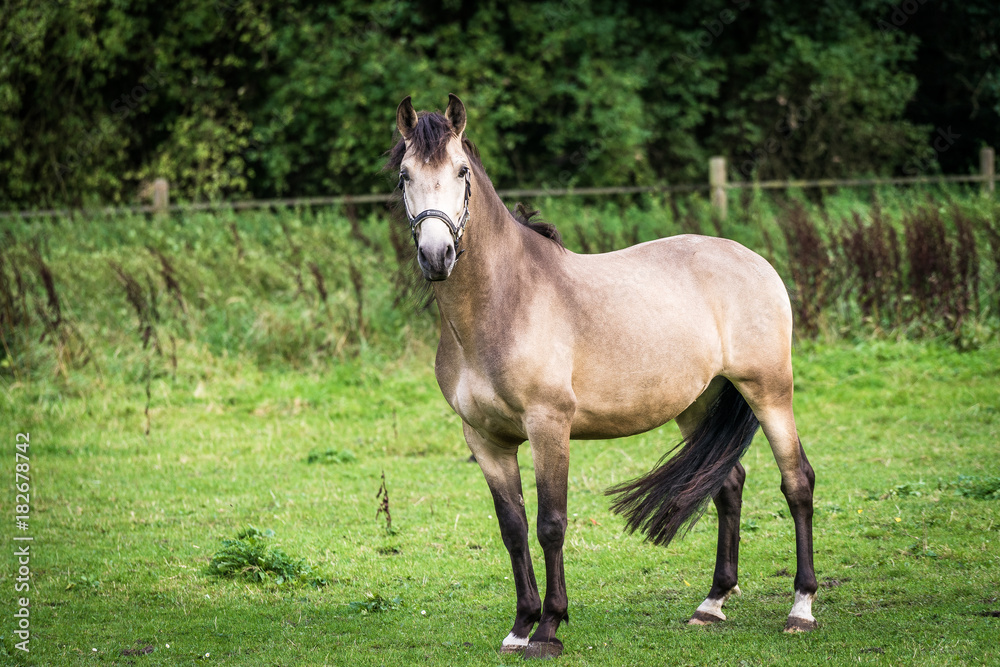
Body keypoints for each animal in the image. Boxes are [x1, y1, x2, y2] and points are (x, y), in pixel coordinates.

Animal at [386, 94, 816, 656]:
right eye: (404, 175)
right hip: (698, 404)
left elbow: (550, 524)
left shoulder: (548, 426)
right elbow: (512, 528)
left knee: (797, 482)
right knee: (727, 484)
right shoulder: (484, 439)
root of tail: (753, 260)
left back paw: (801, 609)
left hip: (769, 391)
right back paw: (711, 604)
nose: (437, 256)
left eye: (461, 172)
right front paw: (519, 627)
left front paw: (549, 629)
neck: (503, 302)